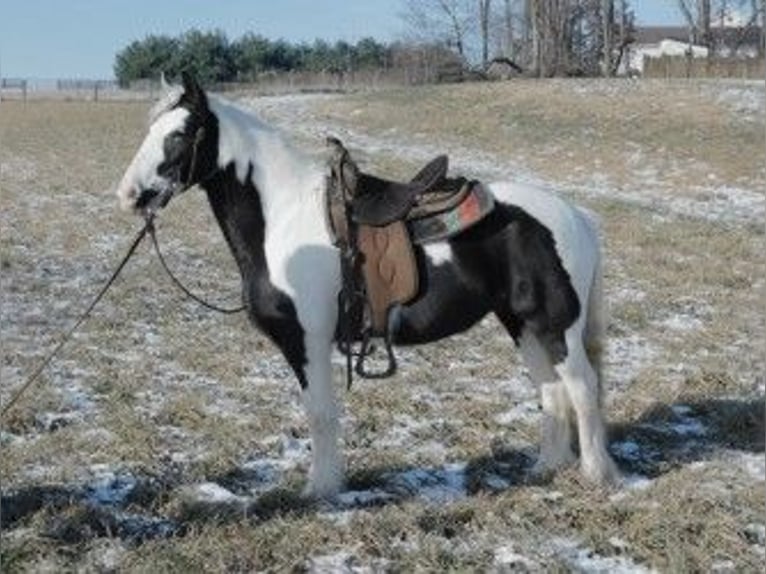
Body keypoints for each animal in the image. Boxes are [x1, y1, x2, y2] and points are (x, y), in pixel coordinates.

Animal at [117, 73, 620, 500]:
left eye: (179, 135)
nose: (128, 194)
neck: (282, 218)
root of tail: (575, 214)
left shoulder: (307, 342)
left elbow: (320, 414)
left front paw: (320, 490)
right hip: (522, 323)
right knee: (551, 391)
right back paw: (545, 469)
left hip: (555, 326)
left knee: (581, 388)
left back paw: (595, 474)